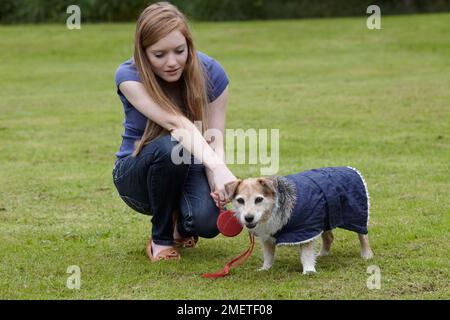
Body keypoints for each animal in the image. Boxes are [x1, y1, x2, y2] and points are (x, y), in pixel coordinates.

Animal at [223, 166, 374, 274]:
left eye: (259, 199)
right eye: (240, 200)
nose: (248, 218)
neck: (275, 207)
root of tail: (350, 169)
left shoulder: (305, 229)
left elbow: (306, 253)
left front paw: (309, 270)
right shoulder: (267, 235)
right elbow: (268, 254)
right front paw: (265, 268)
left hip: (357, 215)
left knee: (363, 235)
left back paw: (367, 254)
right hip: (325, 217)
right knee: (329, 237)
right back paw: (323, 254)